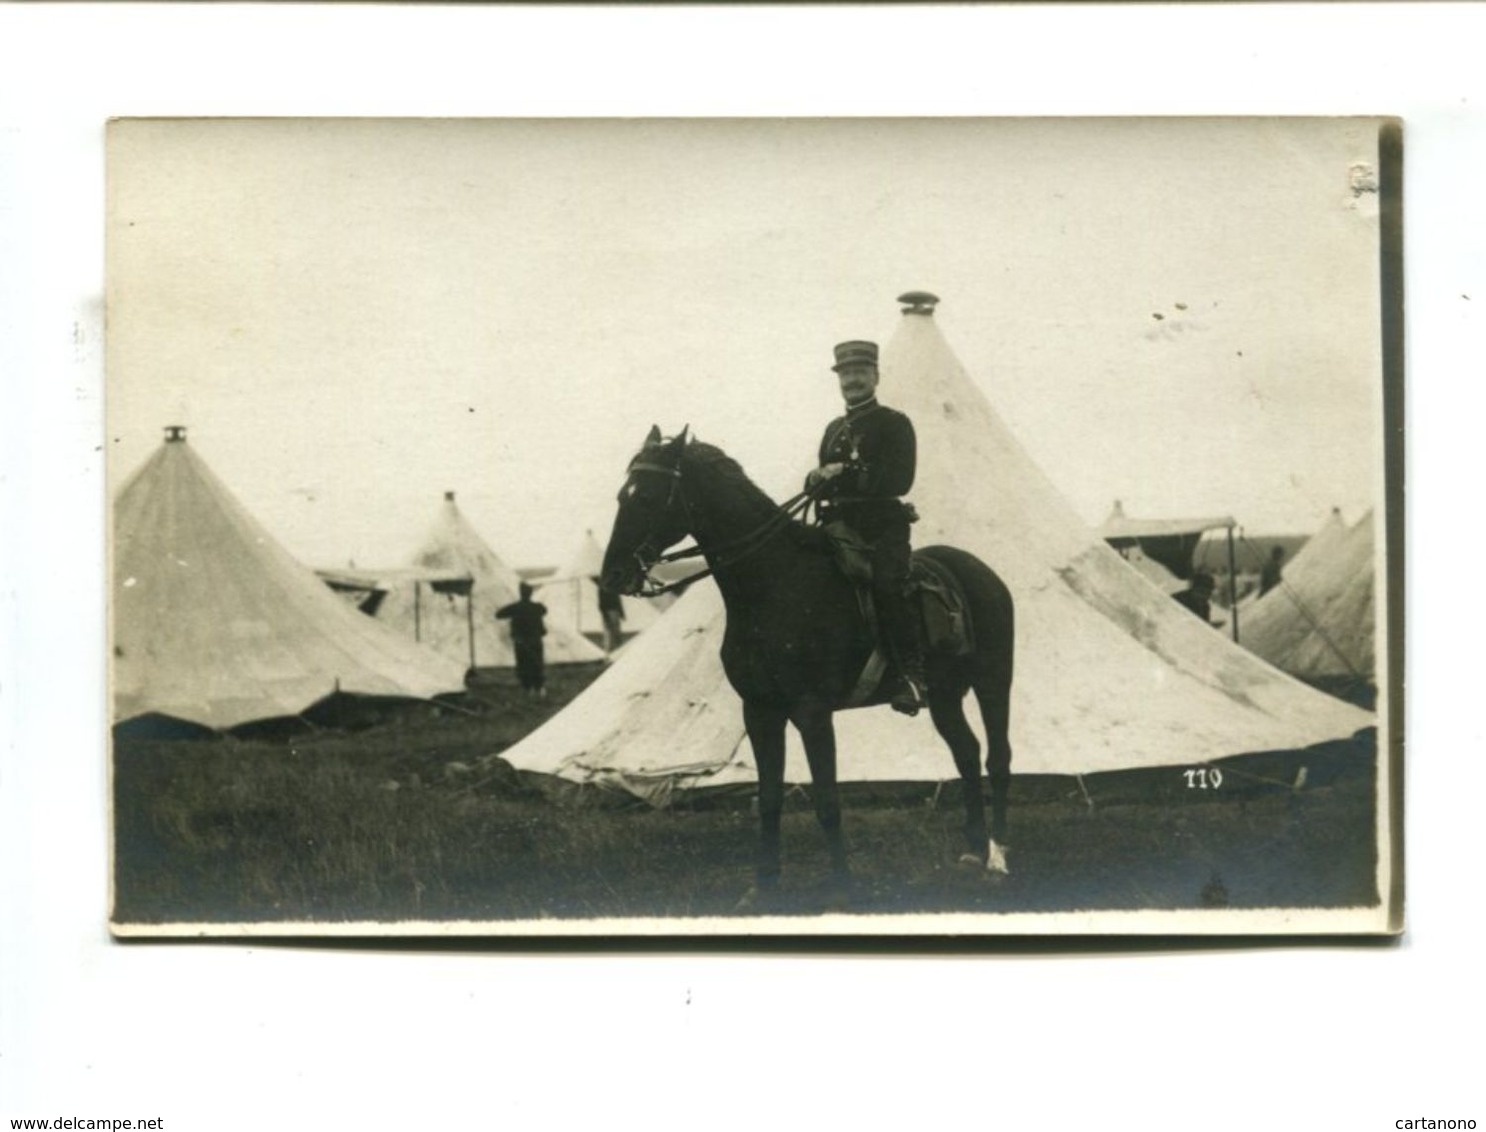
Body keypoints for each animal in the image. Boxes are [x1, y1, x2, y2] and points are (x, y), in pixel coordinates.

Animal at [597, 424, 1016, 897]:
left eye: (648, 497)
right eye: (623, 495)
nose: (612, 577)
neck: (774, 585)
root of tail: (983, 573)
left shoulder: (812, 712)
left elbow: (827, 800)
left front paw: (842, 885)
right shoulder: (760, 711)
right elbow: (769, 798)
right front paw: (764, 886)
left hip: (993, 681)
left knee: (997, 759)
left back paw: (997, 857)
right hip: (945, 695)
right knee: (967, 753)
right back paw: (973, 850)